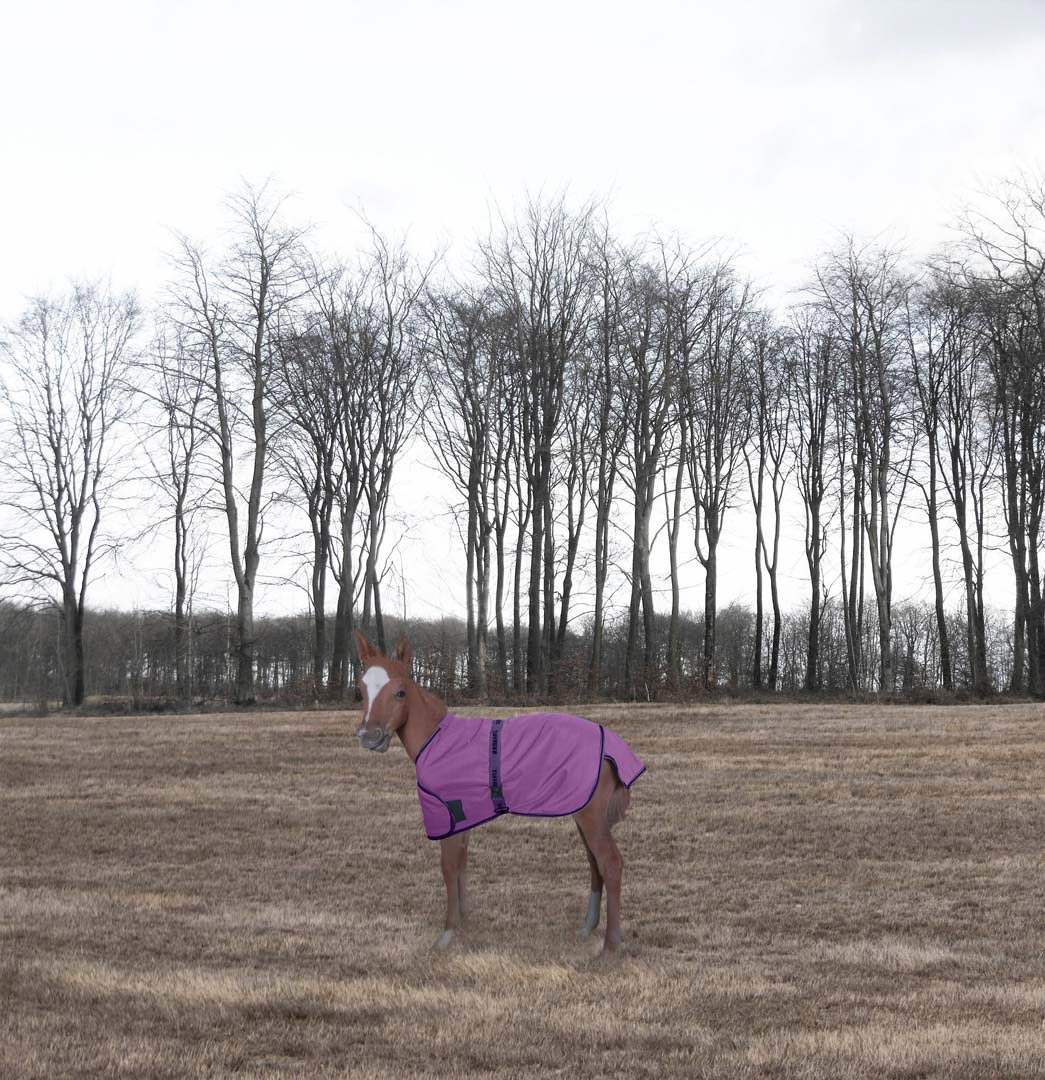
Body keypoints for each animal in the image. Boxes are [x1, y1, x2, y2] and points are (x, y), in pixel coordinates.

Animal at [352, 631, 645, 955]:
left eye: (400, 692)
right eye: (361, 688)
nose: (369, 737)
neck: (436, 740)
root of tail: (612, 744)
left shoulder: (447, 814)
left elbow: (448, 867)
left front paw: (447, 933)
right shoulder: (464, 815)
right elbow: (462, 863)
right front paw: (464, 922)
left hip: (590, 816)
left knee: (611, 863)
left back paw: (610, 946)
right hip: (584, 813)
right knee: (595, 864)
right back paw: (587, 928)